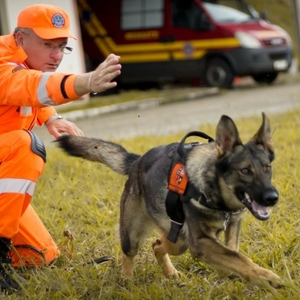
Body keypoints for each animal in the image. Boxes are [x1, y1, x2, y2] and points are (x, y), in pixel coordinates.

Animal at [55, 113, 282, 288]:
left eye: (267, 168)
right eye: (245, 171)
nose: (272, 198)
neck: (214, 187)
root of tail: (137, 162)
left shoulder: (231, 225)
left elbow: (232, 253)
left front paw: (231, 273)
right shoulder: (201, 242)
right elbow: (237, 257)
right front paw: (265, 277)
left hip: (179, 238)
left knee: (157, 244)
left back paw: (170, 272)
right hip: (135, 236)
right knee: (130, 253)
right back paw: (127, 280)